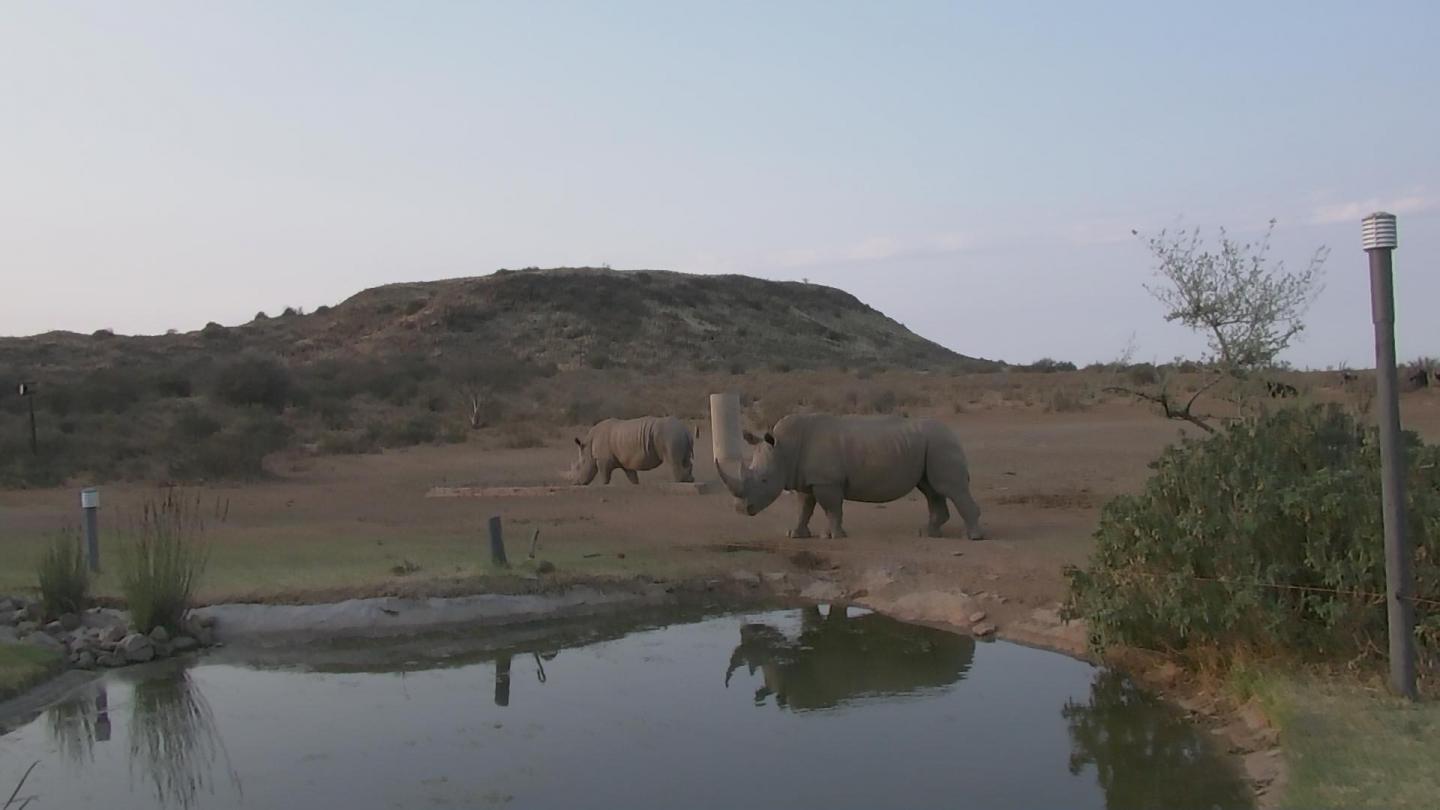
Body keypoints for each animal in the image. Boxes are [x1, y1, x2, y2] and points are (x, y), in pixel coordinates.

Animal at [567, 416, 696, 485]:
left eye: (579, 467)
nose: (575, 483)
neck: (588, 446)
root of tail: (685, 430)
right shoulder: (625, 461)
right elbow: (632, 476)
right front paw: (636, 484)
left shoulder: (603, 460)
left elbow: (604, 476)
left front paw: (603, 485)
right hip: (677, 435)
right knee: (684, 460)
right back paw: (689, 480)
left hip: (670, 435)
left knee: (673, 461)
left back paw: (678, 482)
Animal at [717, 413, 984, 540]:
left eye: (764, 481)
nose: (741, 510)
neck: (784, 449)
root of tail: (953, 432)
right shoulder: (806, 480)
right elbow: (804, 508)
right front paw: (795, 534)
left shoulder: (827, 481)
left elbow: (831, 508)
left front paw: (832, 536)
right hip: (930, 445)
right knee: (931, 489)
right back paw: (927, 533)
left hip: (940, 443)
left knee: (948, 488)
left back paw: (972, 538)